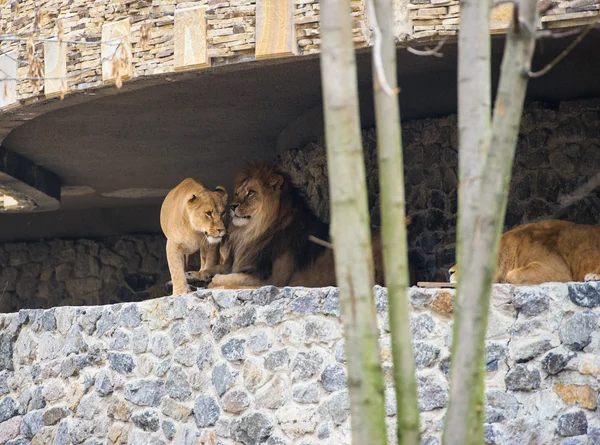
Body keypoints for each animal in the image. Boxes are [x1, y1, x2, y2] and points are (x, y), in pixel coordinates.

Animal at [209, 163, 414, 288]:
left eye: (251, 193)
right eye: (237, 193)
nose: (232, 206)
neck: (253, 233)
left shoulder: (273, 279)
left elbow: (232, 280)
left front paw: (214, 282)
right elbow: (223, 269)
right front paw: (204, 274)